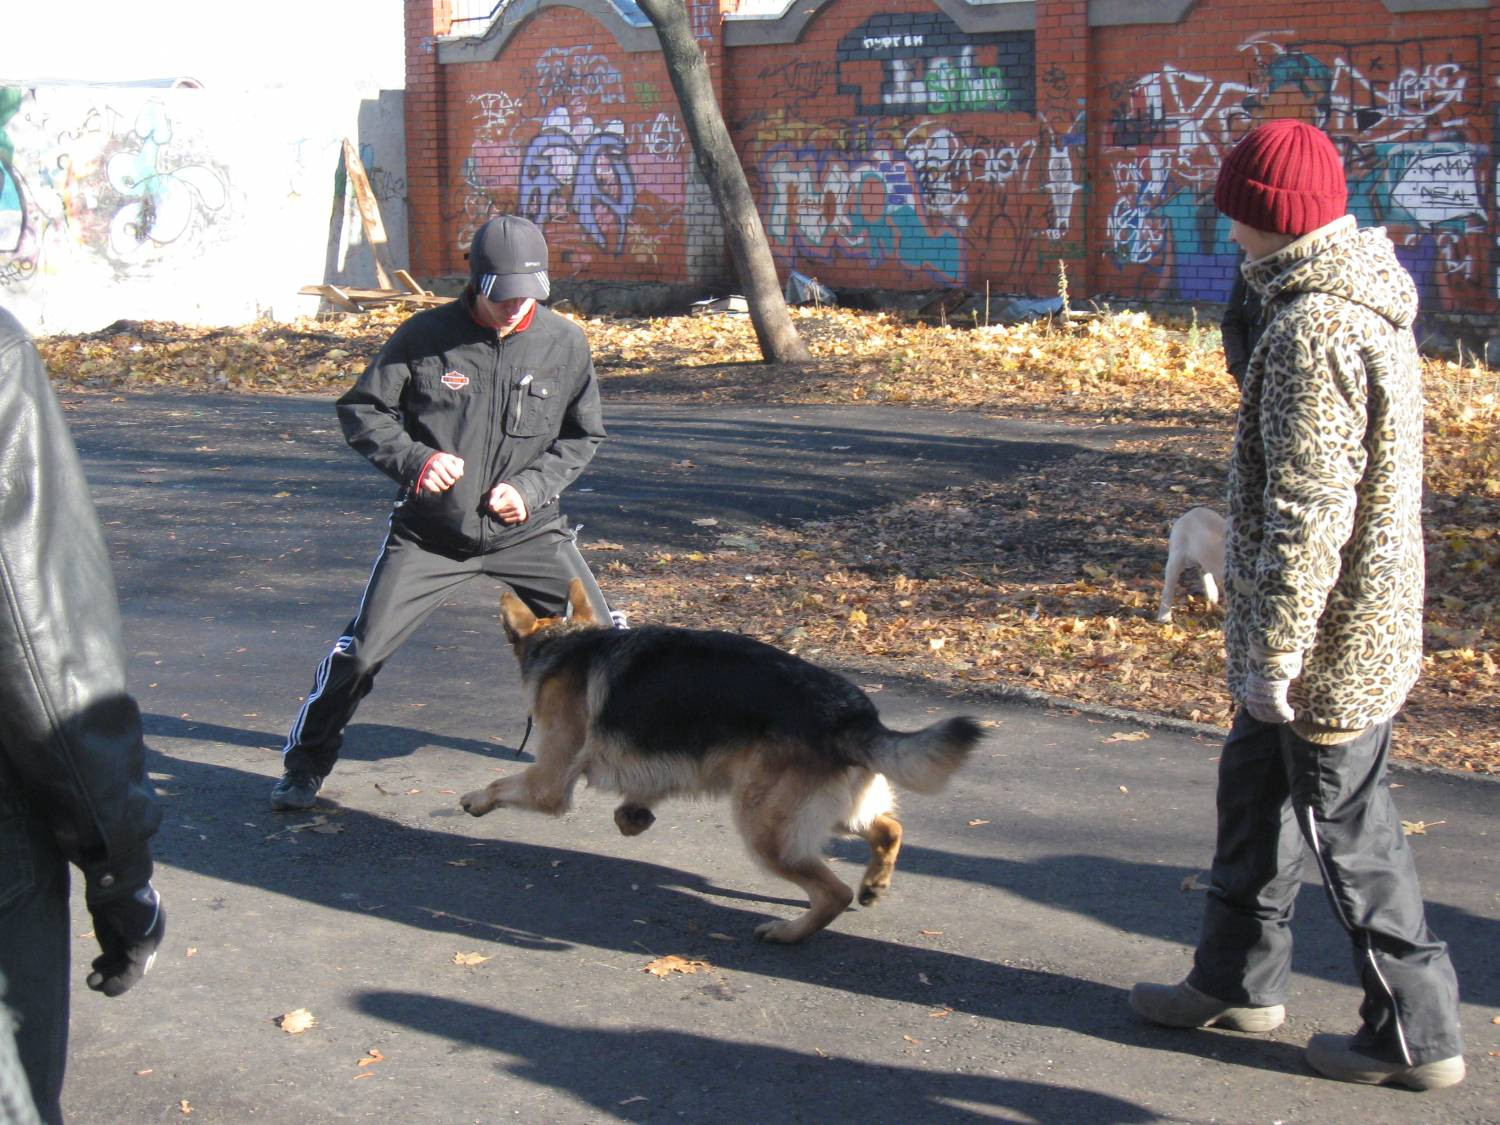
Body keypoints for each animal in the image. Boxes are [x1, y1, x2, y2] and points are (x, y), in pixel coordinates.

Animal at [462, 582, 990, 942]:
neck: (566, 643)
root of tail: (853, 712)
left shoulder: (549, 780)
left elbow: (501, 784)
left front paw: (473, 799)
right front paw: (634, 816)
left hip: (764, 828)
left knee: (832, 892)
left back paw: (788, 933)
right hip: (828, 811)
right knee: (888, 829)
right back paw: (873, 885)